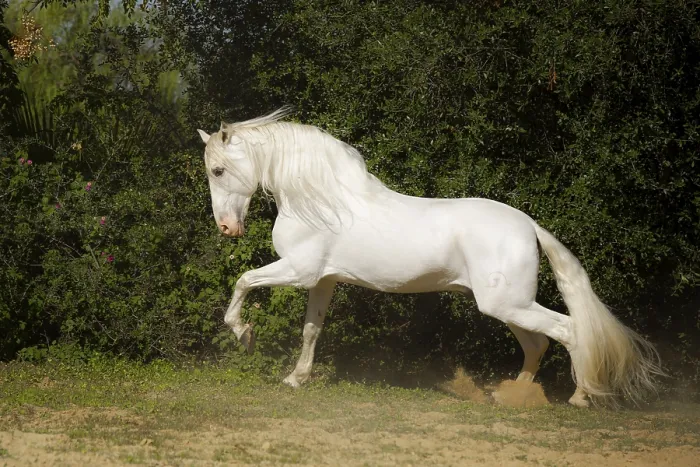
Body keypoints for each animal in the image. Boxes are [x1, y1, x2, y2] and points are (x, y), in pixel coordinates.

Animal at [197, 109, 663, 407]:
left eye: (218, 171)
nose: (227, 229)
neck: (323, 200)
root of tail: (528, 225)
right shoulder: (323, 280)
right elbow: (312, 330)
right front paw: (297, 378)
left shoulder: (298, 271)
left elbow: (243, 280)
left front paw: (243, 334)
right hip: (509, 305)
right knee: (538, 342)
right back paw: (511, 394)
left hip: (507, 305)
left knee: (568, 331)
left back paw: (580, 397)